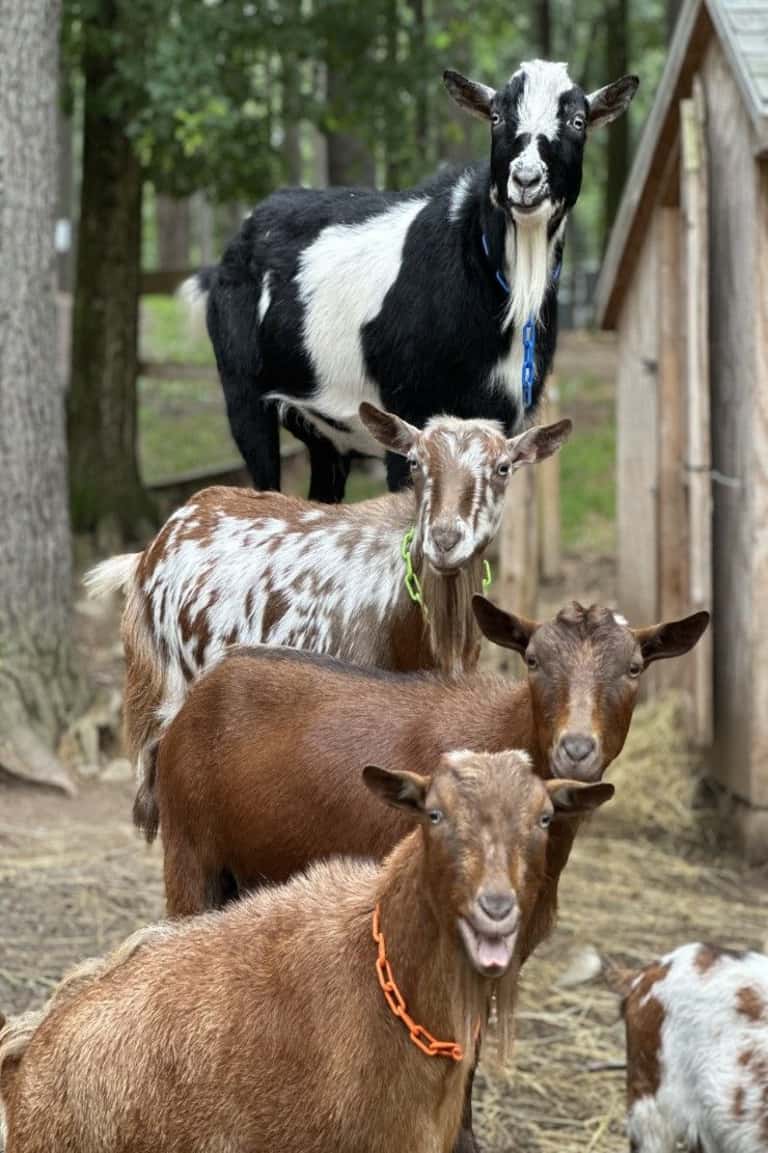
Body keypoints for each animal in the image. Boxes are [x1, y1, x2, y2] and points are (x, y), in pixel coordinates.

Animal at [183, 61, 638, 500]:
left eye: (578, 121)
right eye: (496, 117)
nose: (526, 180)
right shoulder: (408, 412)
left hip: (323, 431)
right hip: (242, 392)